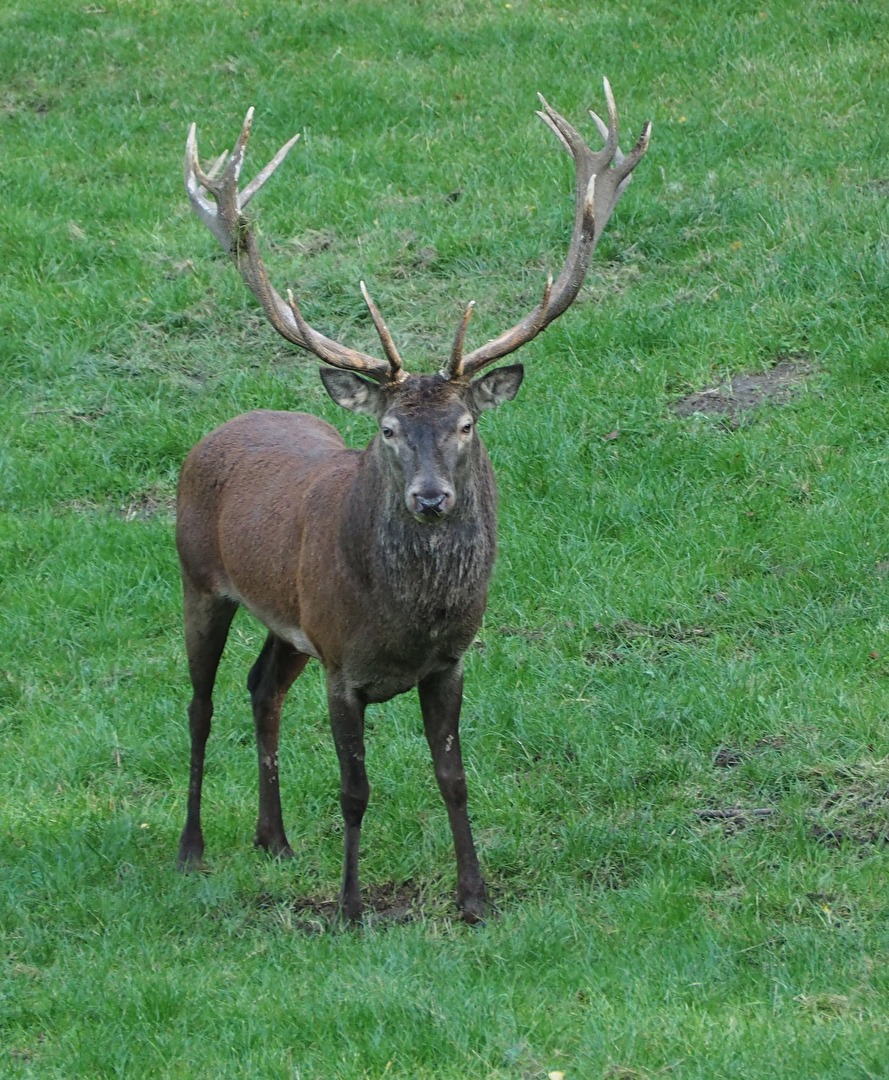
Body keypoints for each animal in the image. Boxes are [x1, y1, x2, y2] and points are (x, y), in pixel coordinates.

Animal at [177, 79, 650, 924]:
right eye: (390, 429)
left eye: (465, 423)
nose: (431, 498)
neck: (409, 620)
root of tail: (217, 431)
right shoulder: (341, 666)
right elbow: (354, 791)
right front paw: (350, 908)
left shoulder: (447, 662)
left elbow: (453, 778)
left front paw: (476, 898)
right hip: (199, 577)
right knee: (198, 706)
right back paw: (192, 848)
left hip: (289, 626)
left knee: (261, 688)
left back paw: (275, 840)